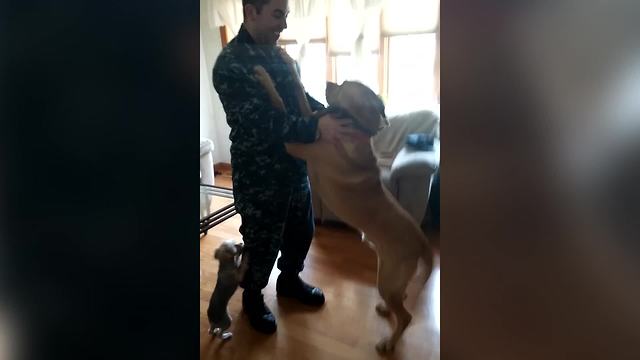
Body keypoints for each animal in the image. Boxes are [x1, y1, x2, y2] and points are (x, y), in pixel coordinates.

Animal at [252, 50, 432, 352]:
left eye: (344, 84)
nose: (327, 82)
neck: (354, 127)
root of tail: (422, 241)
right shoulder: (310, 121)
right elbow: (298, 94)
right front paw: (287, 62)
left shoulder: (295, 144)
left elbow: (279, 104)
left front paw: (264, 77)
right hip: (391, 277)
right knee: (402, 298)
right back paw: (387, 310)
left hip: (388, 277)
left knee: (406, 317)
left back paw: (389, 342)